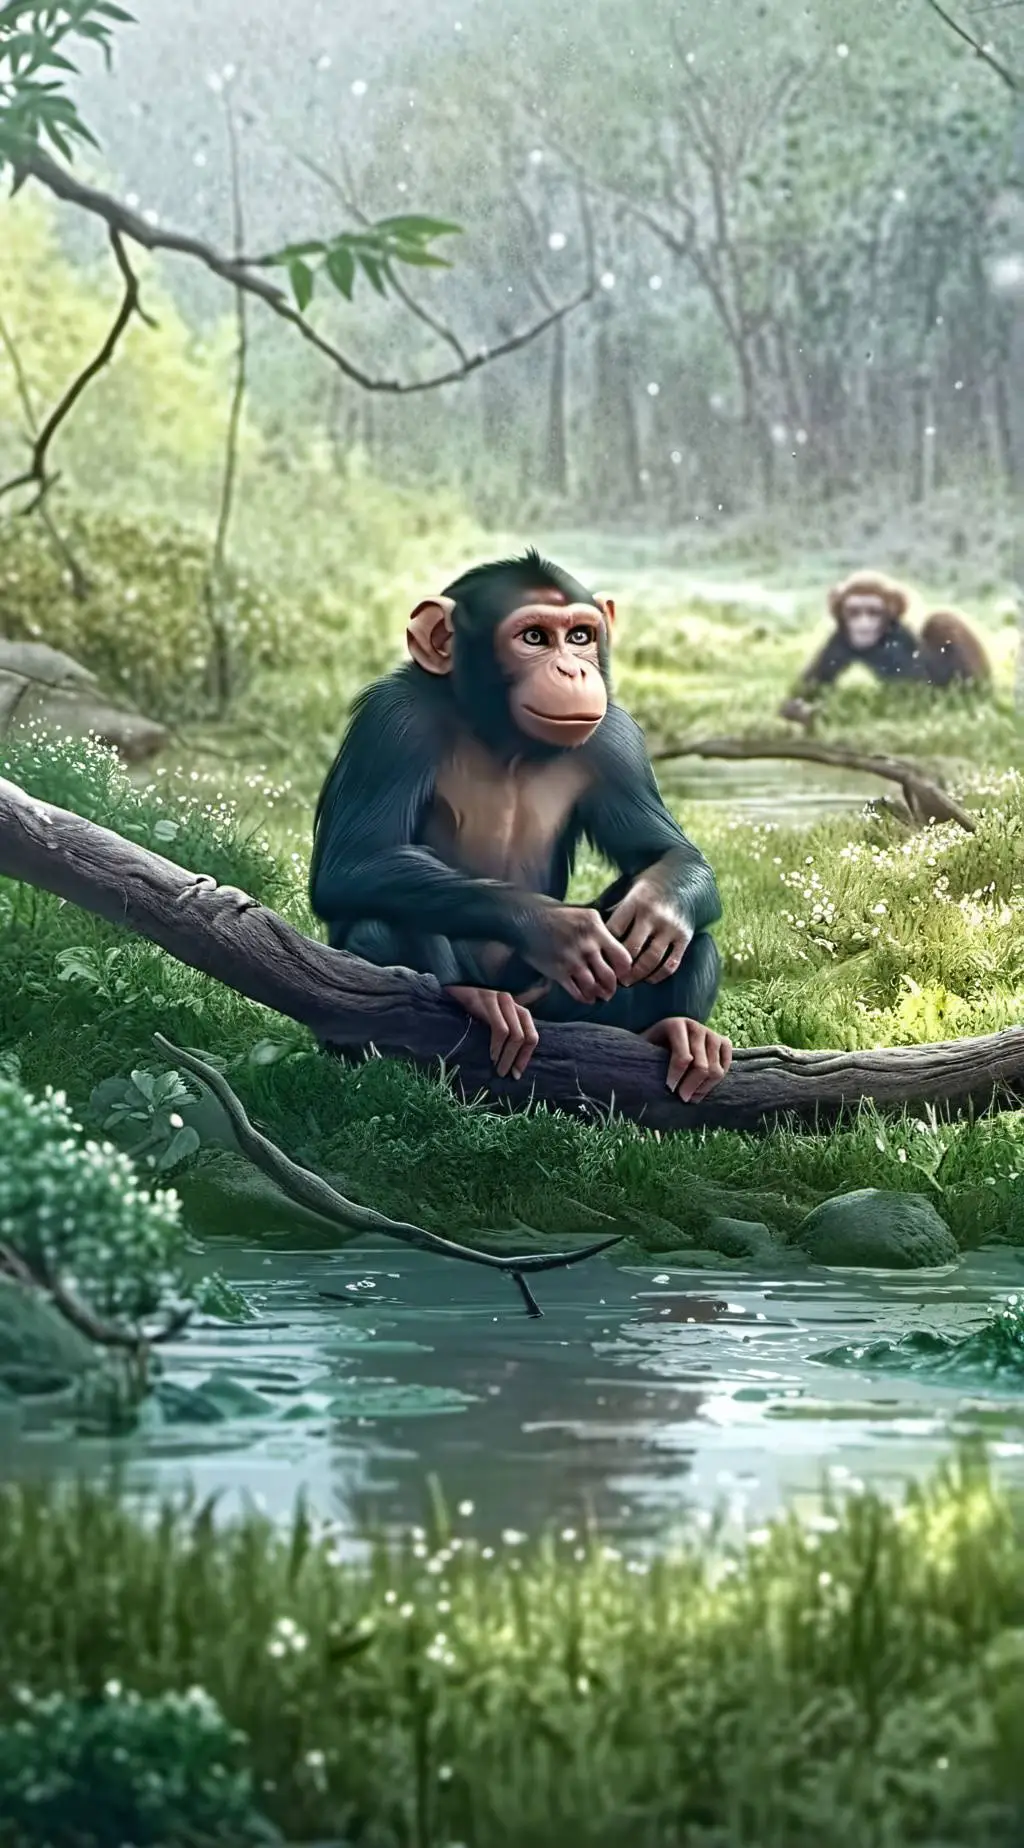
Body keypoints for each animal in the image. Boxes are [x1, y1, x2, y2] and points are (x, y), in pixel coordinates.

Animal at [309, 550, 732, 1104]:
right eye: (533, 638)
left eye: (580, 635)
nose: (572, 669)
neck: (504, 735)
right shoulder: (392, 722)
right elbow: (355, 861)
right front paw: (557, 929)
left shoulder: (618, 742)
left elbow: (668, 855)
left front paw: (655, 912)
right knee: (380, 921)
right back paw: (474, 999)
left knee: (692, 942)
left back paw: (676, 1029)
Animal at [780, 571, 991, 722]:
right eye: (853, 611)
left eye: (874, 612)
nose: (863, 626)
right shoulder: (839, 638)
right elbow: (810, 685)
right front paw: (797, 709)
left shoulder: (899, 638)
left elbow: (913, 695)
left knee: (942, 620)